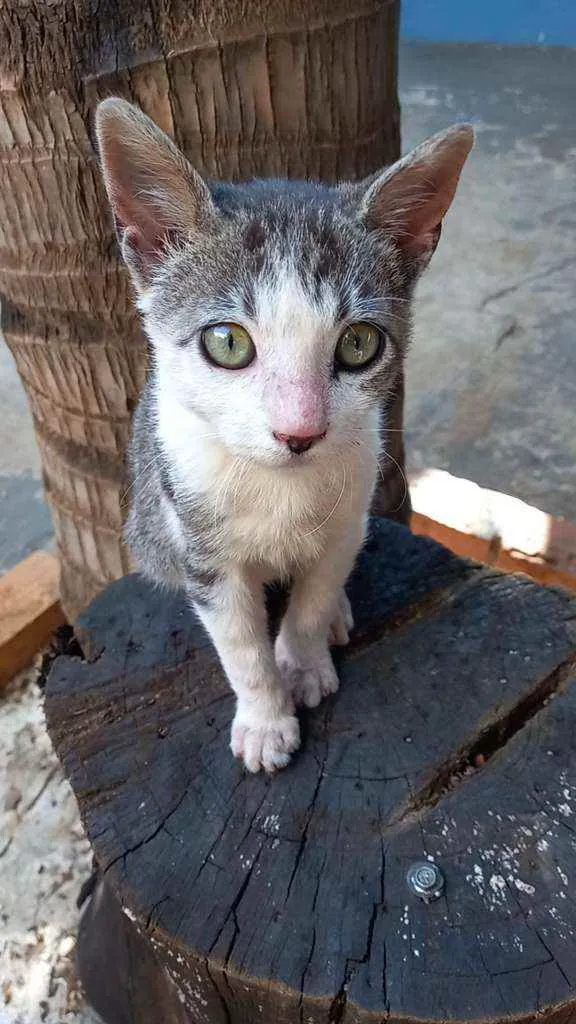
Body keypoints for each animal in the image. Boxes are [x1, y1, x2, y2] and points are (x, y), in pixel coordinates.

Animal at [95, 99, 471, 774]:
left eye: (358, 343)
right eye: (227, 342)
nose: (300, 432)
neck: (277, 486)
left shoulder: (350, 514)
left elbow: (314, 595)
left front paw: (303, 662)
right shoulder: (201, 545)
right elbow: (241, 646)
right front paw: (266, 722)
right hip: (150, 528)